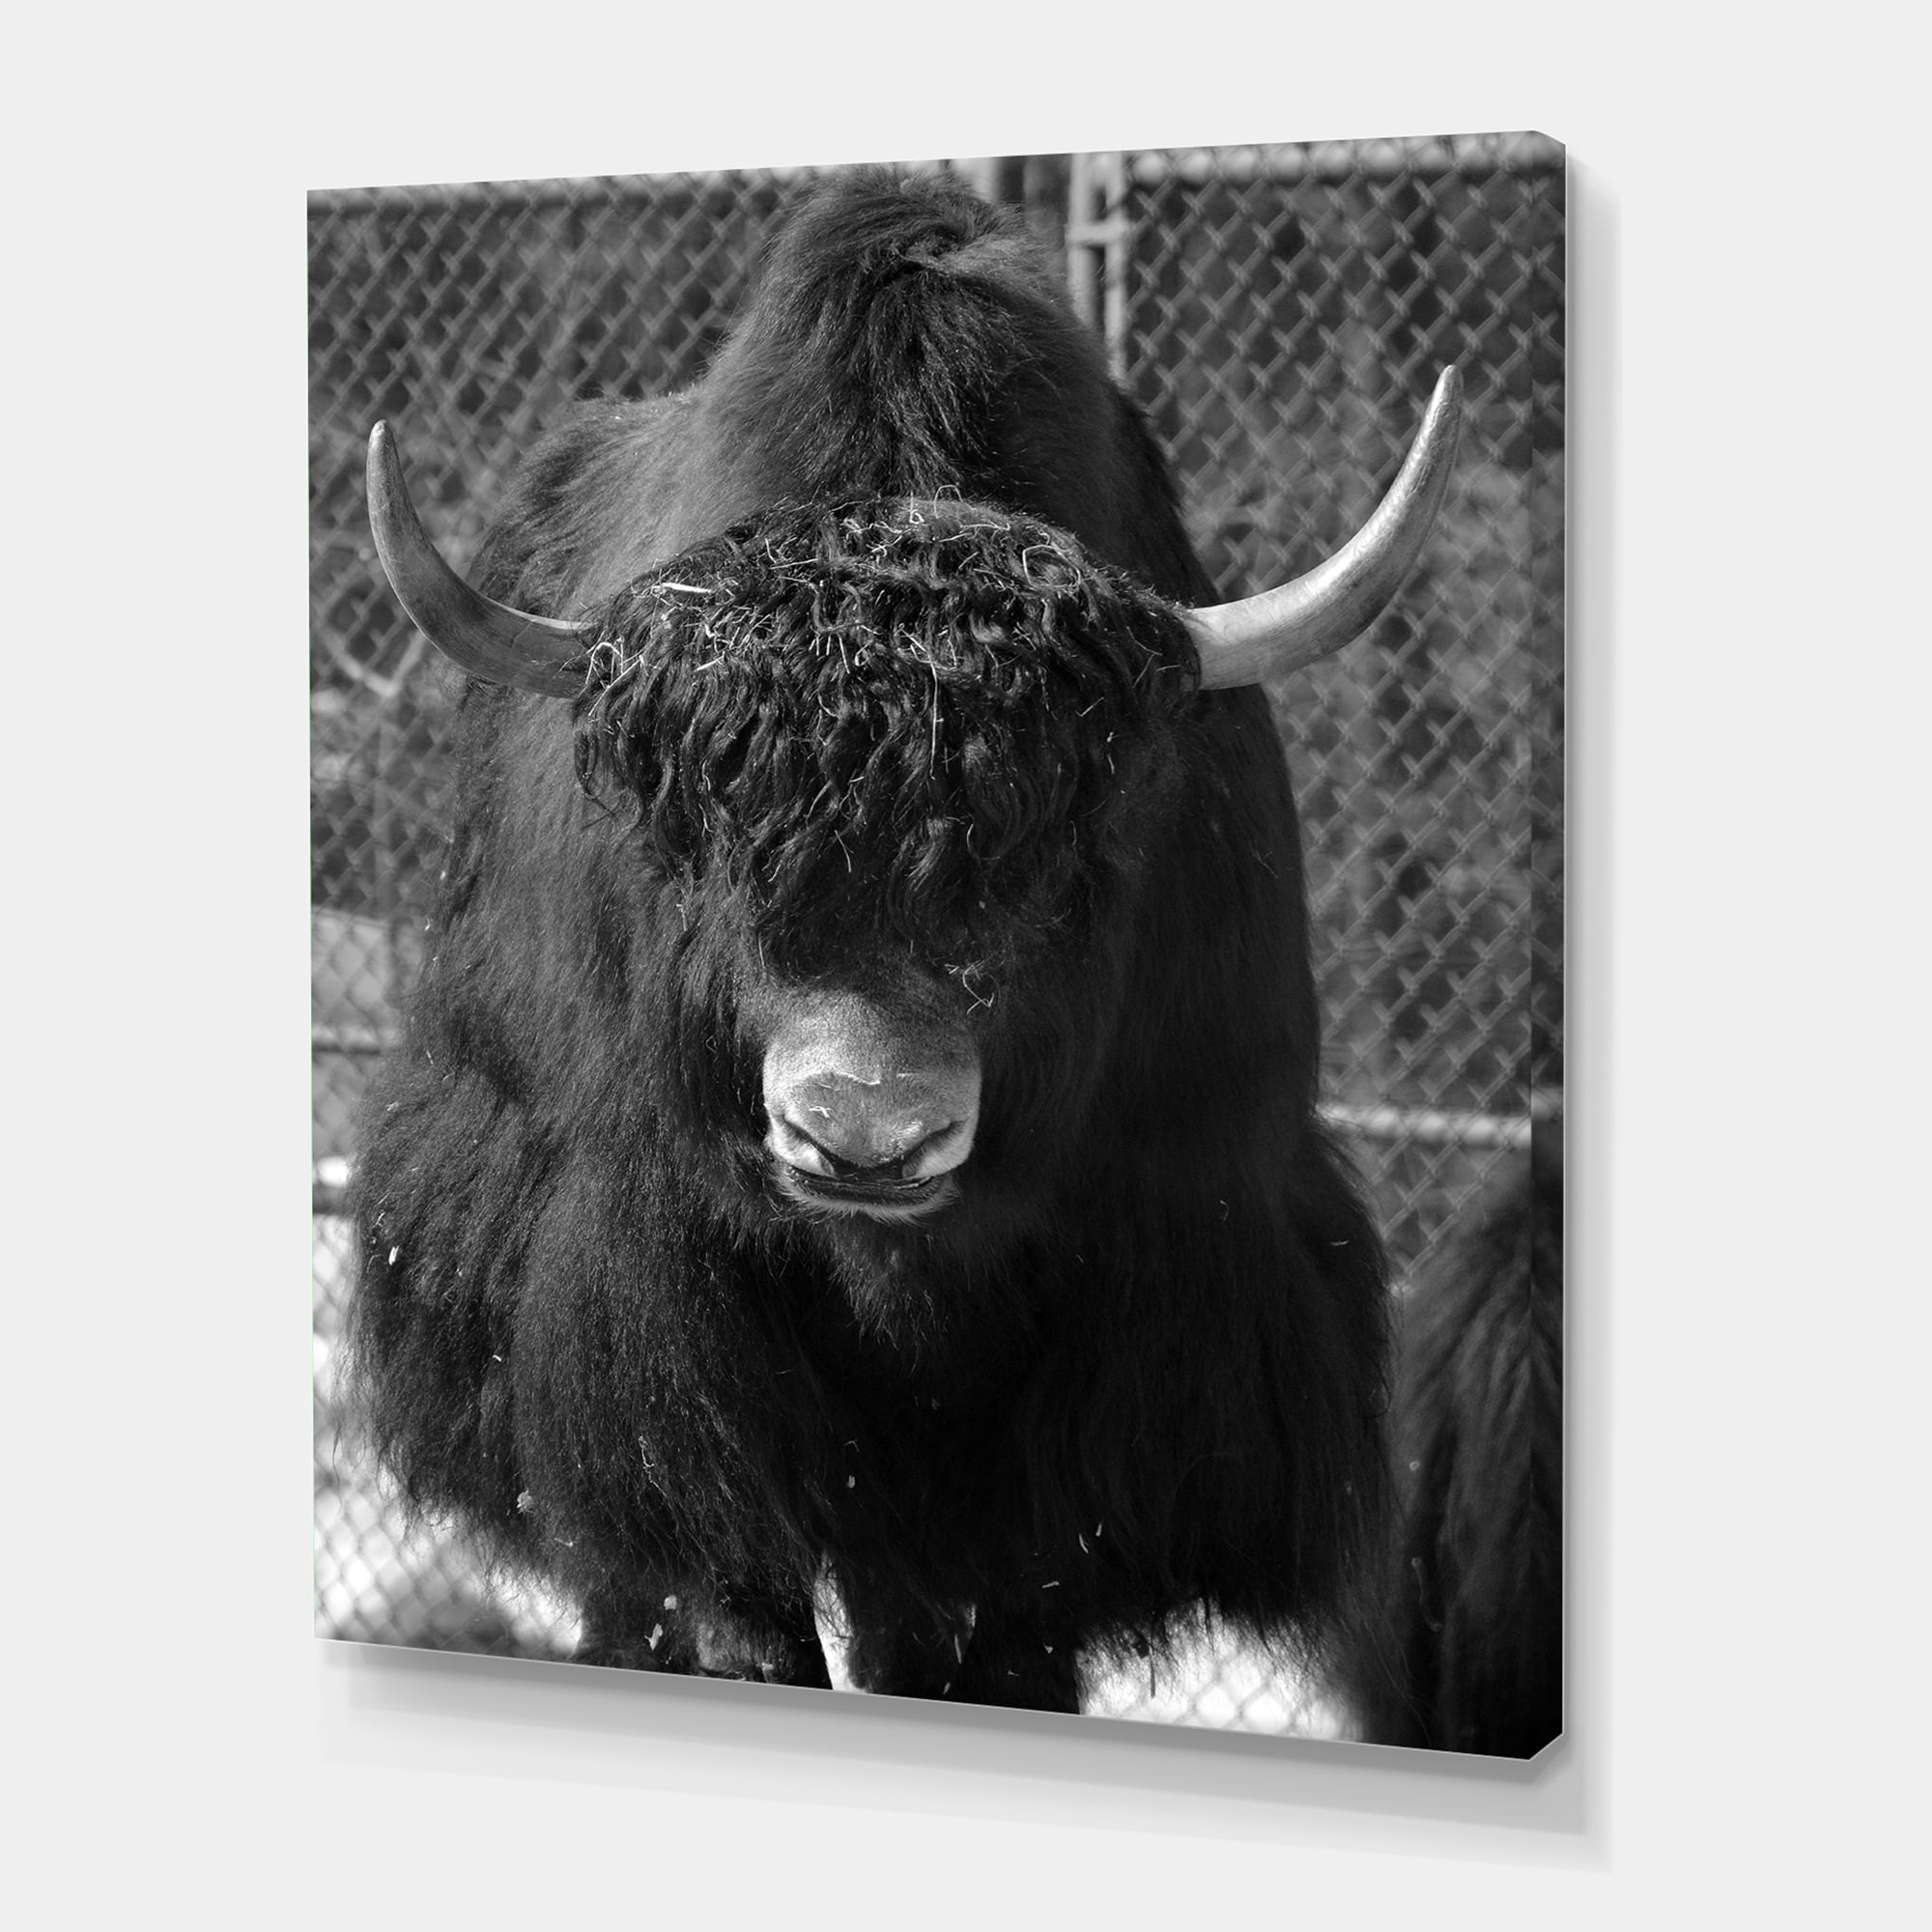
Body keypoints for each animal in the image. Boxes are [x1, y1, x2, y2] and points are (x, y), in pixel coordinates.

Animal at [348, 168, 1463, 1713]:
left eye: (1063, 858)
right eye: (709, 839)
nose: (864, 1134)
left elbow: (988, 1635)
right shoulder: (656, 1331)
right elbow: (723, 1590)